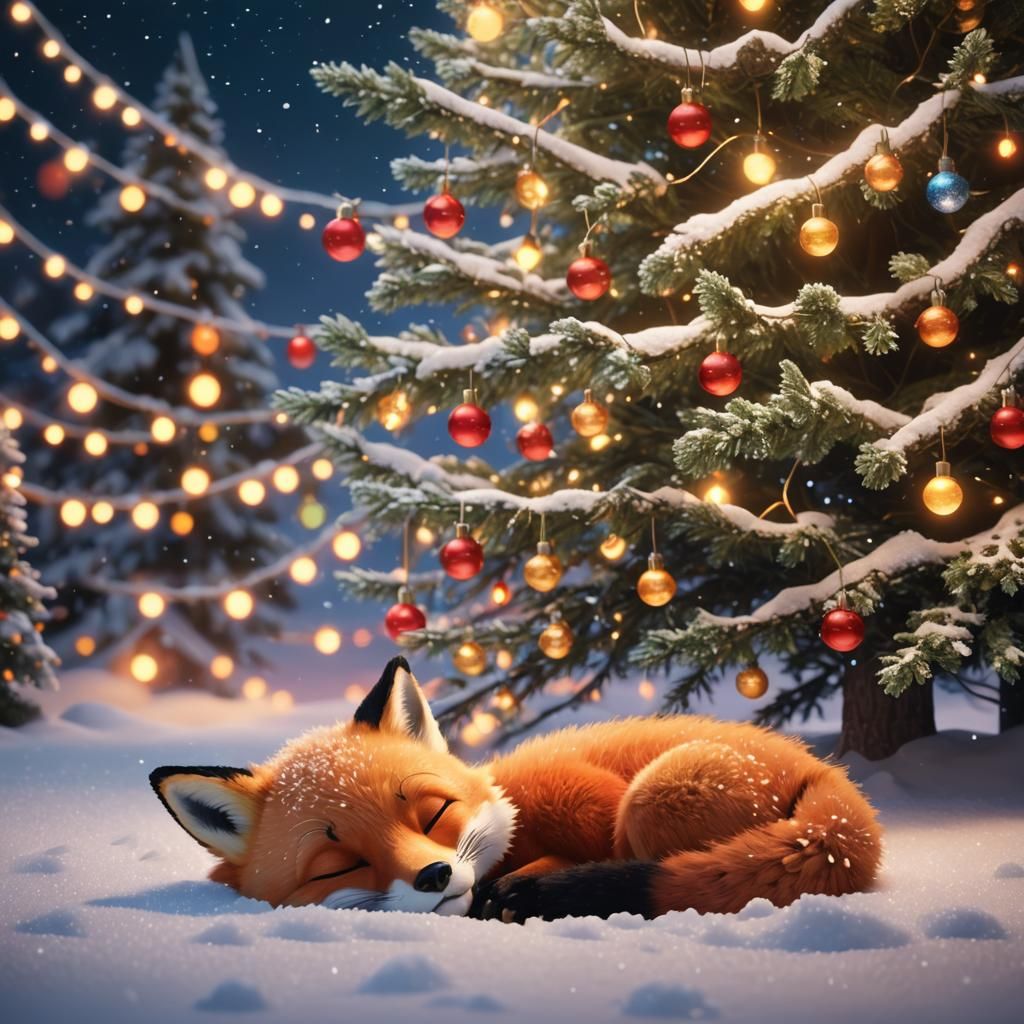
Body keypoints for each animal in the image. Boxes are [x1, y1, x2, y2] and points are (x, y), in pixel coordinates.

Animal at [150, 656, 883, 922]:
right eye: (339, 865)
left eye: (434, 813)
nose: (434, 876)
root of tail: (826, 771)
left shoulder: (586, 800)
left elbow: (579, 850)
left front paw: (525, 890)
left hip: (650, 797)